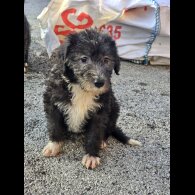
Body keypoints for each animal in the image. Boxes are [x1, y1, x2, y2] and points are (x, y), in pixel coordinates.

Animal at [42, 29, 141, 169]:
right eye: (84, 59)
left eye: (106, 59)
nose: (99, 82)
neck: (82, 89)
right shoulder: (52, 102)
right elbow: (55, 125)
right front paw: (54, 145)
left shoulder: (100, 112)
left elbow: (95, 134)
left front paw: (92, 155)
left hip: (114, 109)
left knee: (108, 129)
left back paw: (103, 142)